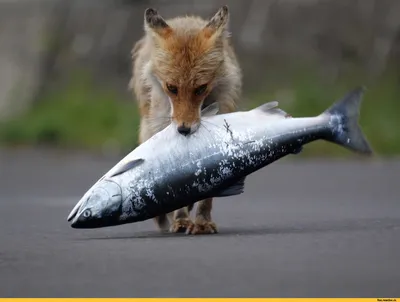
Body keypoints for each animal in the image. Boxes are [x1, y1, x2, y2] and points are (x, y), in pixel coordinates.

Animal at [129, 5, 241, 236]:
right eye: (172, 88)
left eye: (200, 88)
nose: (184, 129)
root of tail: (183, 19)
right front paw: (181, 220)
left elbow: (207, 194)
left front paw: (202, 222)